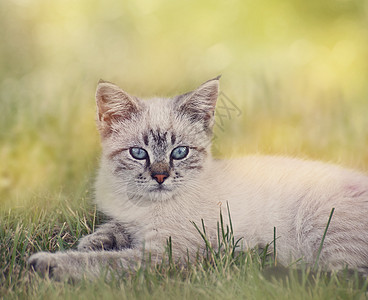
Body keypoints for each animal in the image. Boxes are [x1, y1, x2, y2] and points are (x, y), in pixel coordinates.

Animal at [28, 76, 368, 280]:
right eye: (138, 153)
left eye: (179, 152)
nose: (160, 176)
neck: (145, 207)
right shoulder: (128, 222)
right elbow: (109, 232)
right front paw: (88, 243)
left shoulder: (163, 255)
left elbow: (105, 262)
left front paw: (49, 262)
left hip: (322, 227)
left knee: (340, 278)